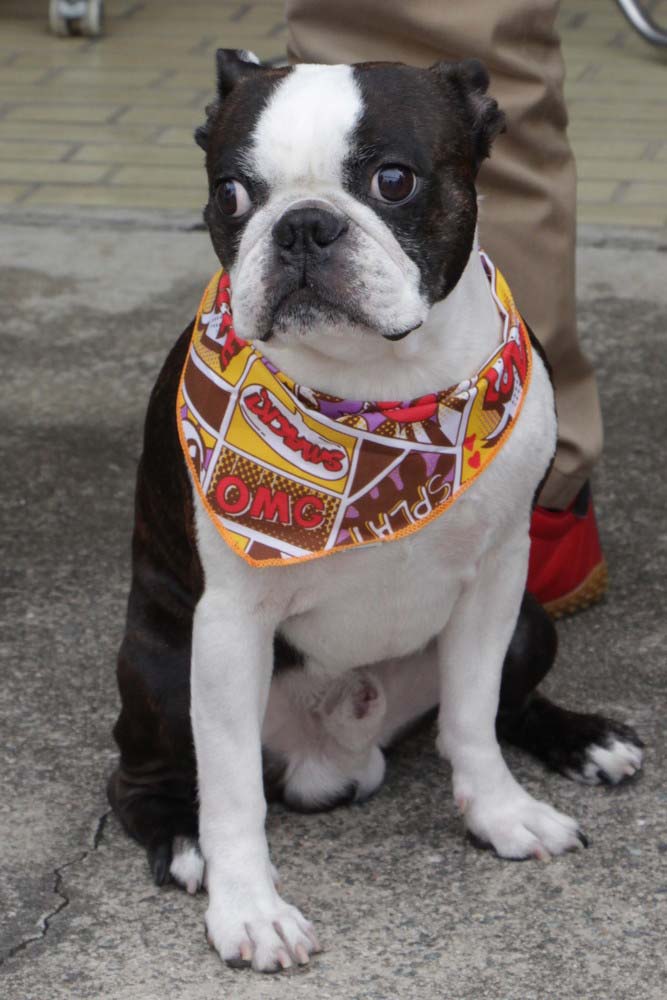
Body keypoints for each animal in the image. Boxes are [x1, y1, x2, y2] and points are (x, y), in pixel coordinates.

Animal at [107, 50, 644, 972]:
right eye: (230, 193)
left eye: (393, 180)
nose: (302, 227)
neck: (379, 401)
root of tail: (340, 758)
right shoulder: (229, 623)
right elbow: (232, 789)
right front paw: (247, 908)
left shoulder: (497, 578)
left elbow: (472, 715)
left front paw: (501, 815)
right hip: (163, 666)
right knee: (144, 777)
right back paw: (181, 843)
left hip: (535, 620)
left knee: (497, 706)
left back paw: (586, 742)